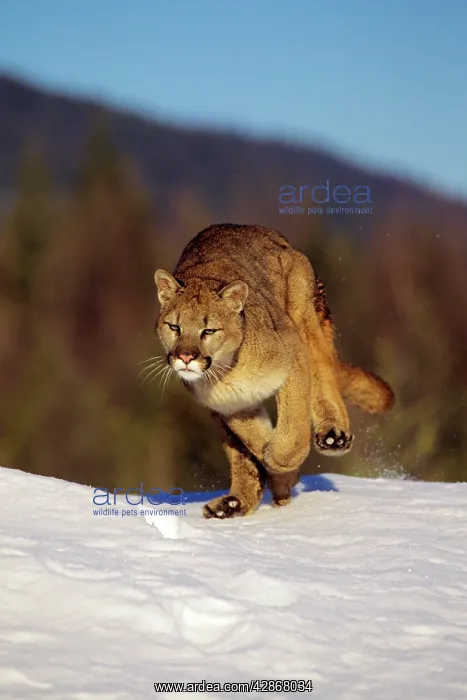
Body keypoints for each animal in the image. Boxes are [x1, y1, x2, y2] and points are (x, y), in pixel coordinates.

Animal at [154, 223, 394, 518]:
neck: (227, 372)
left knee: (324, 372)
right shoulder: (231, 405)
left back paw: (333, 435)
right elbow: (254, 439)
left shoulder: (294, 359)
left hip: (303, 316)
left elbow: (292, 430)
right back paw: (232, 504)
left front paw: (283, 468)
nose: (185, 357)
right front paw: (280, 476)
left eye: (208, 330)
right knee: (239, 455)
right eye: (174, 327)